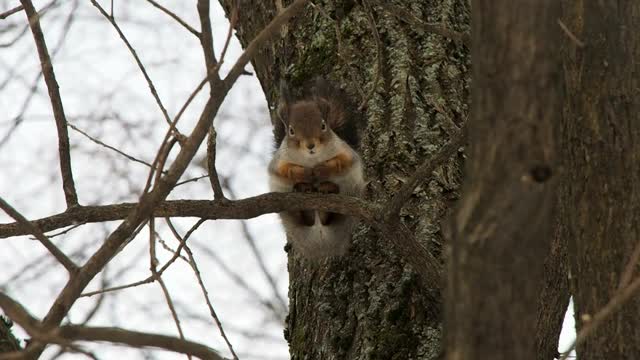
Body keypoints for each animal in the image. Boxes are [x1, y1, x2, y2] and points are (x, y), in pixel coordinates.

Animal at [266, 79, 364, 258]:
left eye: (323, 125)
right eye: (291, 130)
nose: (310, 145)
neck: (311, 159)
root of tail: (321, 242)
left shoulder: (346, 151)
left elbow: (343, 161)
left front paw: (322, 169)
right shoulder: (279, 160)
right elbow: (283, 169)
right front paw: (302, 172)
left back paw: (327, 188)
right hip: (287, 209)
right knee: (302, 216)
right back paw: (303, 189)